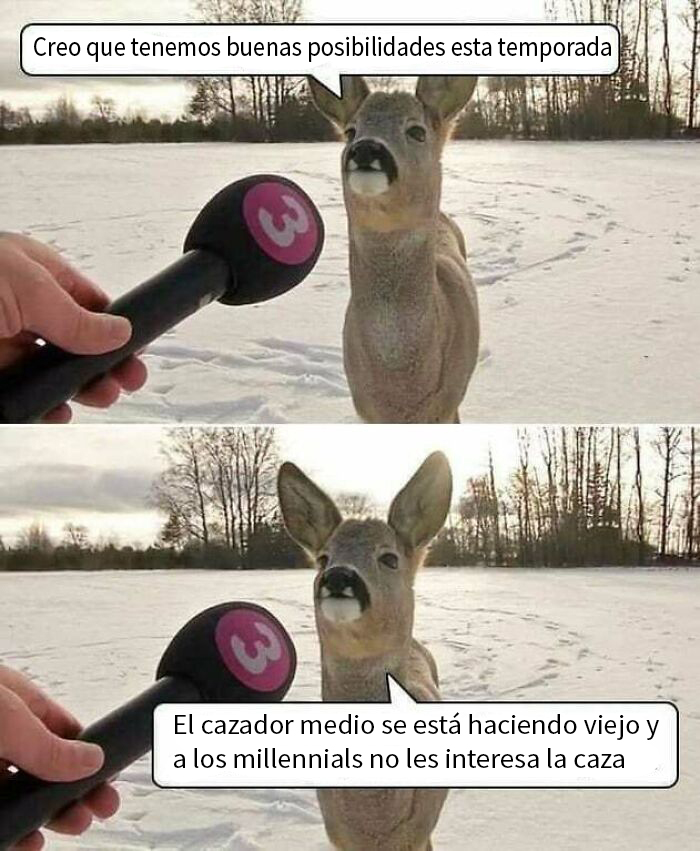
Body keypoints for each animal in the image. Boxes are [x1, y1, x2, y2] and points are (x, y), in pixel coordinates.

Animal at [278, 451, 453, 851]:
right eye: (323, 558)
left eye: (389, 558)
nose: (339, 576)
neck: (375, 823)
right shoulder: (338, 836)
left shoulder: (418, 832)